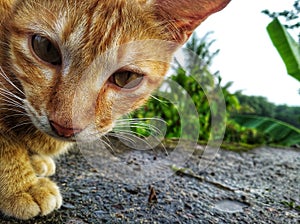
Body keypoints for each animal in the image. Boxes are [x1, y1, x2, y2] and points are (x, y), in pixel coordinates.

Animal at [0, 0, 230, 220]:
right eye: (45, 47)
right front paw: (22, 185)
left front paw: (33, 164)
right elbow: (5, 141)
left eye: (125, 77)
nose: (65, 127)